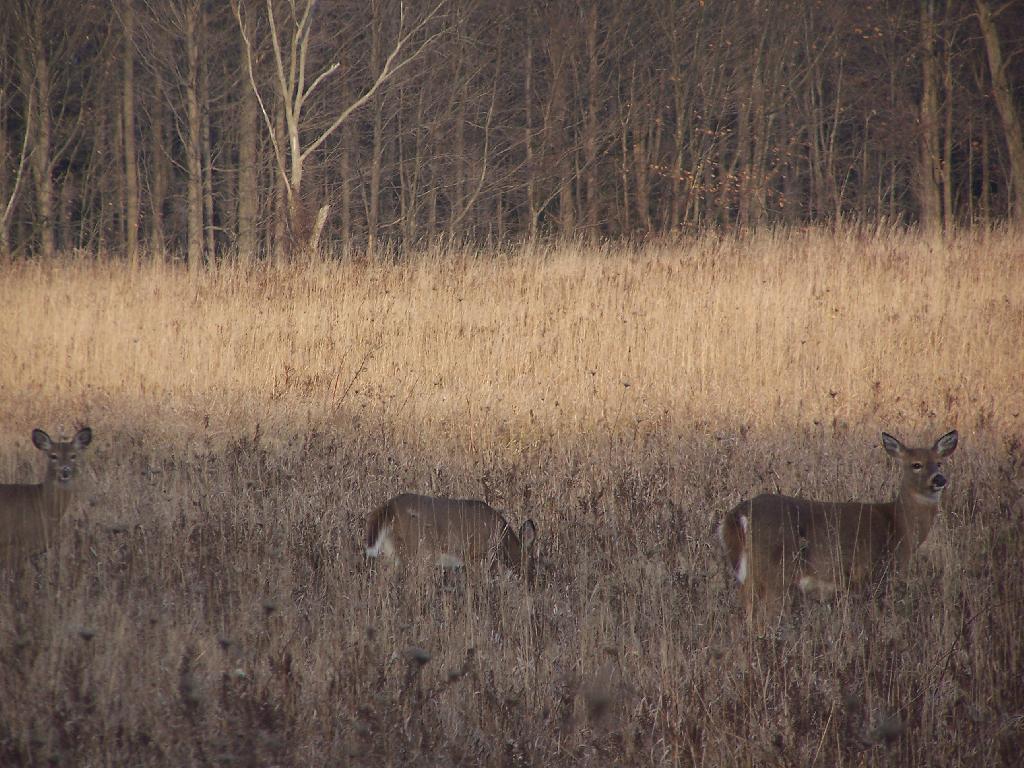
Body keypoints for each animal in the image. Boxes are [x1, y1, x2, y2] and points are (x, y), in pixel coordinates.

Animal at [365, 493, 538, 584]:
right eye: (531, 562)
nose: (531, 582)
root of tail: (389, 507)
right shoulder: (476, 556)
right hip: (419, 551)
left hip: (391, 550)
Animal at [718, 430, 958, 624]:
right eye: (916, 464)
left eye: (939, 462)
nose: (939, 479)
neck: (899, 524)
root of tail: (737, 514)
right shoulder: (878, 573)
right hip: (774, 571)